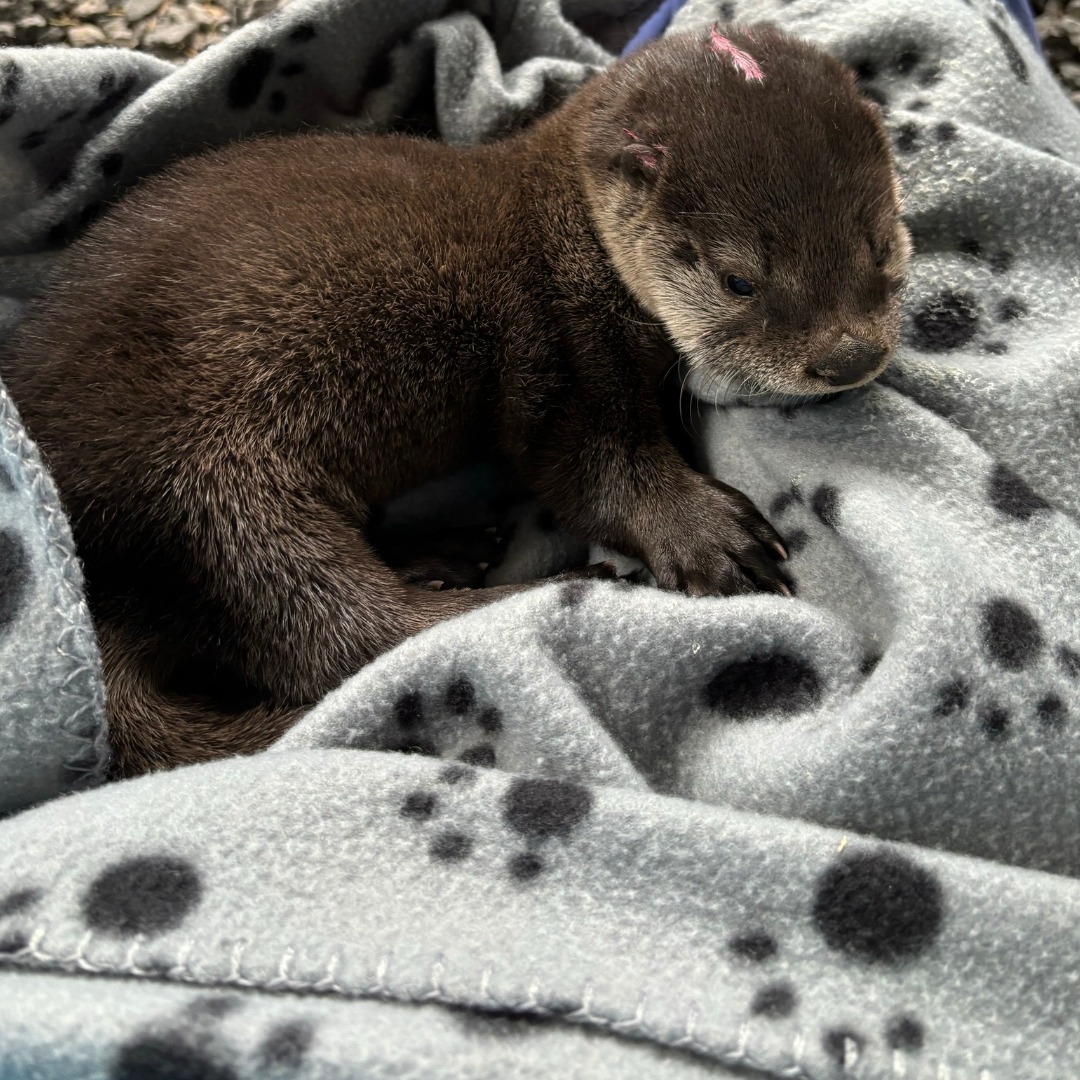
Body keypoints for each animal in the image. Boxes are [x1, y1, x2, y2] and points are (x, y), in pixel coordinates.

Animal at [3, 25, 910, 776]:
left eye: (880, 243)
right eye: (738, 280)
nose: (849, 356)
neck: (565, 231)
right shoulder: (561, 352)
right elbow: (594, 470)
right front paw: (708, 533)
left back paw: (442, 556)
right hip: (205, 481)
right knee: (337, 634)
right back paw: (547, 597)